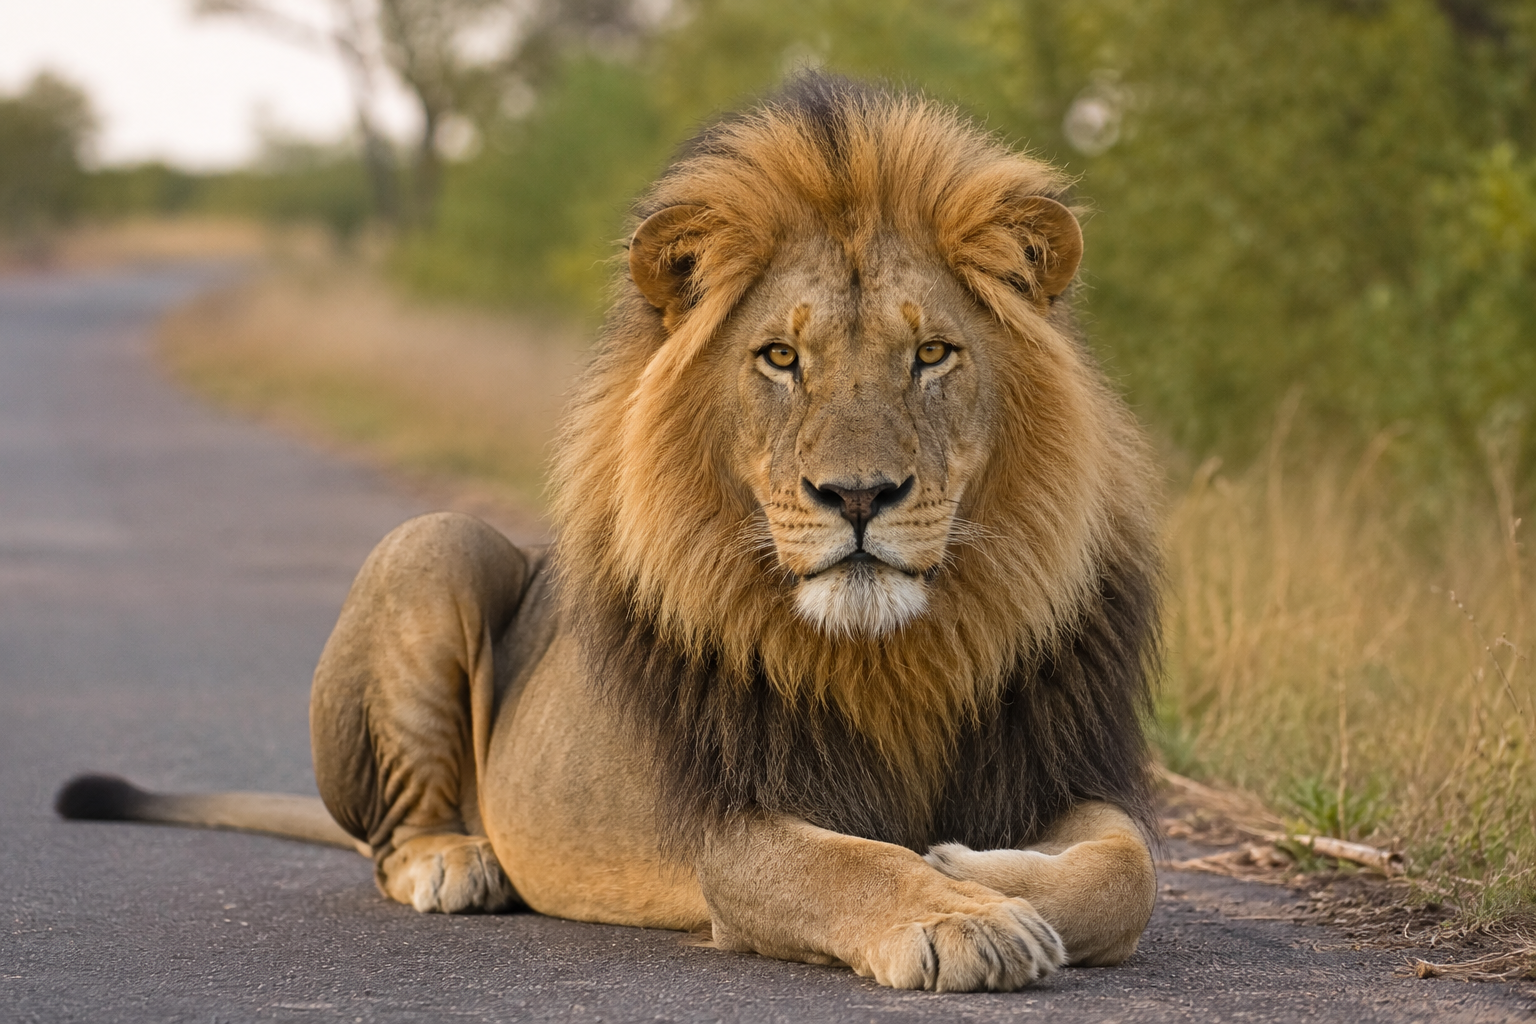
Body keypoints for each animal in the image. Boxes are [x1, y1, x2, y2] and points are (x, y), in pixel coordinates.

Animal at [56, 73, 1161, 992]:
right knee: (389, 839)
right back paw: (458, 862)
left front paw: (973, 865)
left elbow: (1129, 868)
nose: (858, 495)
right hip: (435, 542)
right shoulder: (731, 830)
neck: (896, 655)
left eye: (933, 353)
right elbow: (855, 863)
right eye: (780, 357)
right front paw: (961, 917)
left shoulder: (1061, 765)